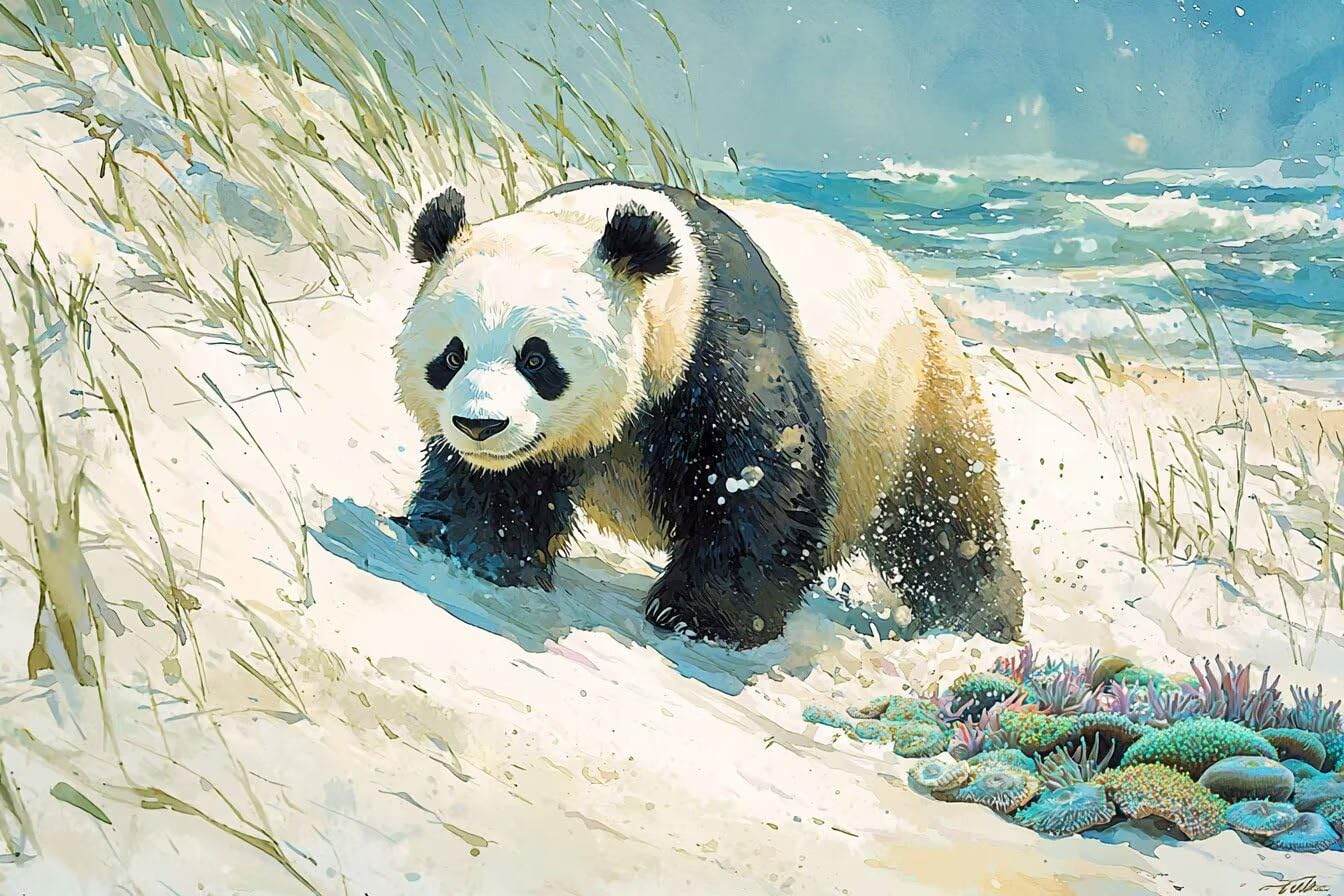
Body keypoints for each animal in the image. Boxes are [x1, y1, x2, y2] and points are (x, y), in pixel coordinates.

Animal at [393, 179, 1024, 648]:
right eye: (451, 356)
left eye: (536, 359)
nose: (480, 426)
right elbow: (495, 488)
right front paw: (473, 549)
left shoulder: (719, 342)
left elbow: (760, 480)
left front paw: (700, 615)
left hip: (918, 408)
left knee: (946, 527)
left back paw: (976, 623)